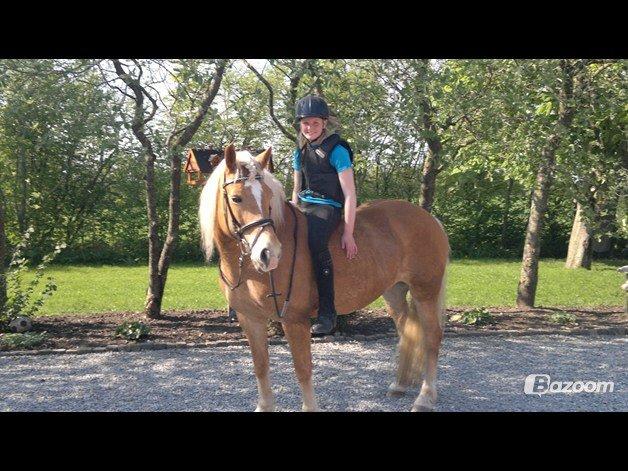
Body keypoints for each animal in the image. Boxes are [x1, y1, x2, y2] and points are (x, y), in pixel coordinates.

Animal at [199, 145, 448, 412]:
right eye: (236, 198)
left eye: (267, 198)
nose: (269, 253)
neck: (247, 269)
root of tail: (429, 218)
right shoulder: (250, 319)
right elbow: (261, 366)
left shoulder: (295, 320)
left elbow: (302, 368)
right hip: (394, 292)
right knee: (407, 332)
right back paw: (400, 385)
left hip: (425, 291)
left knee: (432, 337)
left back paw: (425, 396)